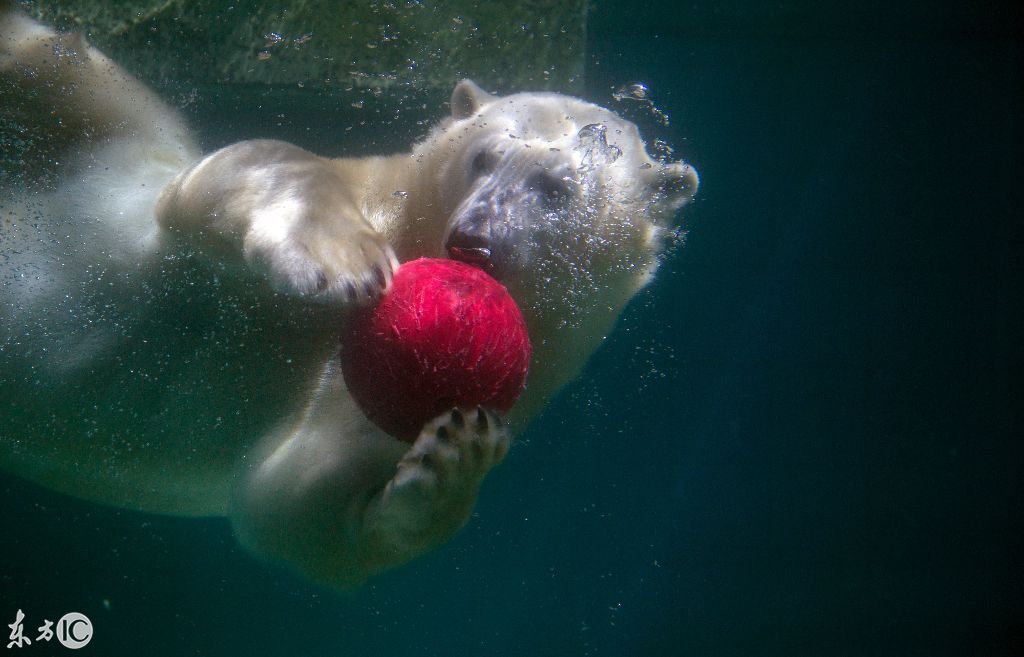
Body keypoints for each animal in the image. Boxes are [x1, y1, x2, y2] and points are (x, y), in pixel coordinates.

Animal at [0, 8, 696, 581]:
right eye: (483, 157)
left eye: (557, 190)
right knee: (65, 70)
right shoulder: (354, 189)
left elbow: (292, 505)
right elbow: (245, 166)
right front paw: (341, 260)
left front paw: (456, 457)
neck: (411, 227)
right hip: (96, 143)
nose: (473, 241)